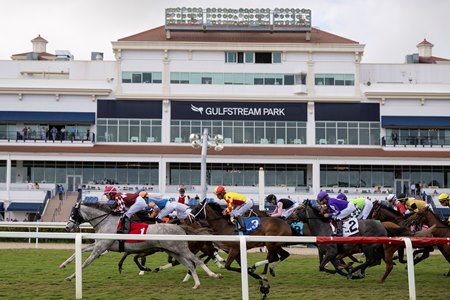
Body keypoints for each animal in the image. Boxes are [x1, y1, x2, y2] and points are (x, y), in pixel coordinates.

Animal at [64, 202, 222, 288]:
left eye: (73, 213)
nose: (67, 227)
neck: (106, 222)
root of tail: (181, 227)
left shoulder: (100, 248)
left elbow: (85, 263)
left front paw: (71, 276)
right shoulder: (100, 245)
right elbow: (80, 251)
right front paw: (64, 264)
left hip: (181, 249)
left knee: (197, 260)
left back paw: (213, 274)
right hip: (173, 251)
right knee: (189, 264)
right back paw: (196, 283)